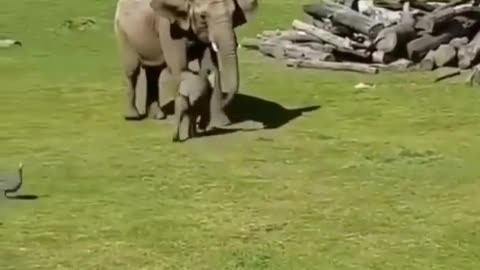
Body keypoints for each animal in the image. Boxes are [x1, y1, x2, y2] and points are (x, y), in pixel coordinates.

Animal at [114, 0, 256, 127]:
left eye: (233, 13)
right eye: (203, 16)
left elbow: (212, 66)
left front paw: (221, 123)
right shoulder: (168, 27)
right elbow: (179, 67)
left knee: (154, 71)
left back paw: (157, 116)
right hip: (124, 33)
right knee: (132, 71)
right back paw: (132, 117)